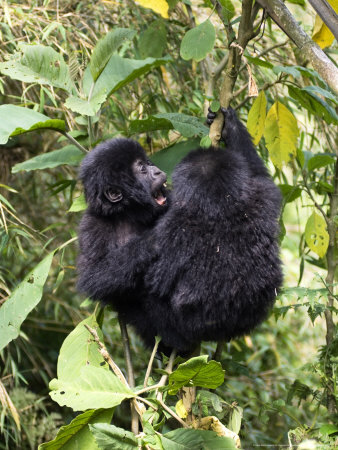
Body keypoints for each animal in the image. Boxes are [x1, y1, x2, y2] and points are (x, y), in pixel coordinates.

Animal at [76, 107, 282, 354]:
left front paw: (229, 126)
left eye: (146, 163)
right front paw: (152, 241)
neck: (127, 211)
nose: (156, 171)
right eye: (142, 169)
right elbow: (94, 276)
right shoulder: (93, 226)